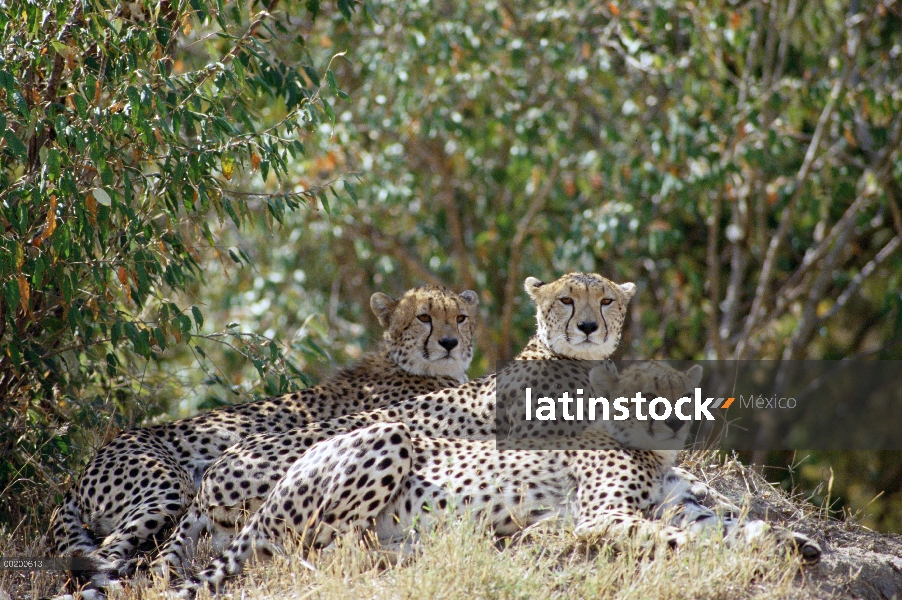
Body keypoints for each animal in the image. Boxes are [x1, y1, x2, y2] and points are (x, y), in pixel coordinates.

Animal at [51, 284, 480, 592]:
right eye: (424, 317)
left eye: (460, 318)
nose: (449, 343)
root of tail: (88, 466)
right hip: (171, 486)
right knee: (105, 552)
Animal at [180, 360, 824, 596]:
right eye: (641, 393)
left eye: (676, 395)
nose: (666, 424)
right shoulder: (603, 516)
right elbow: (670, 536)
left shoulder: (684, 503)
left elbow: (733, 524)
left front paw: (795, 542)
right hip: (386, 436)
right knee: (323, 547)